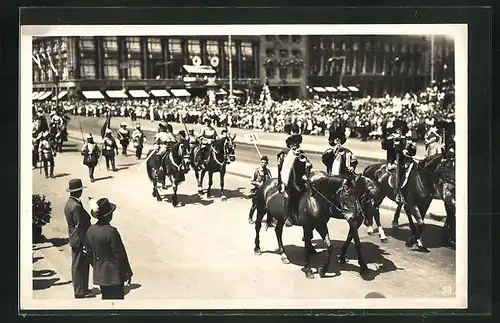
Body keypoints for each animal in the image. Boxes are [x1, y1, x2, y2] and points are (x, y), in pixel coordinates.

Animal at [254, 151, 368, 280]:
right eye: (347, 194)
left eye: (358, 193)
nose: (356, 216)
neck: (316, 201)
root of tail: (266, 183)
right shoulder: (307, 226)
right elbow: (307, 244)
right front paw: (308, 269)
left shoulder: (321, 225)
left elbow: (329, 246)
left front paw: (323, 270)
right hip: (261, 210)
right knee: (257, 226)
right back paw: (257, 248)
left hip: (281, 218)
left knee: (278, 231)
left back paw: (283, 255)